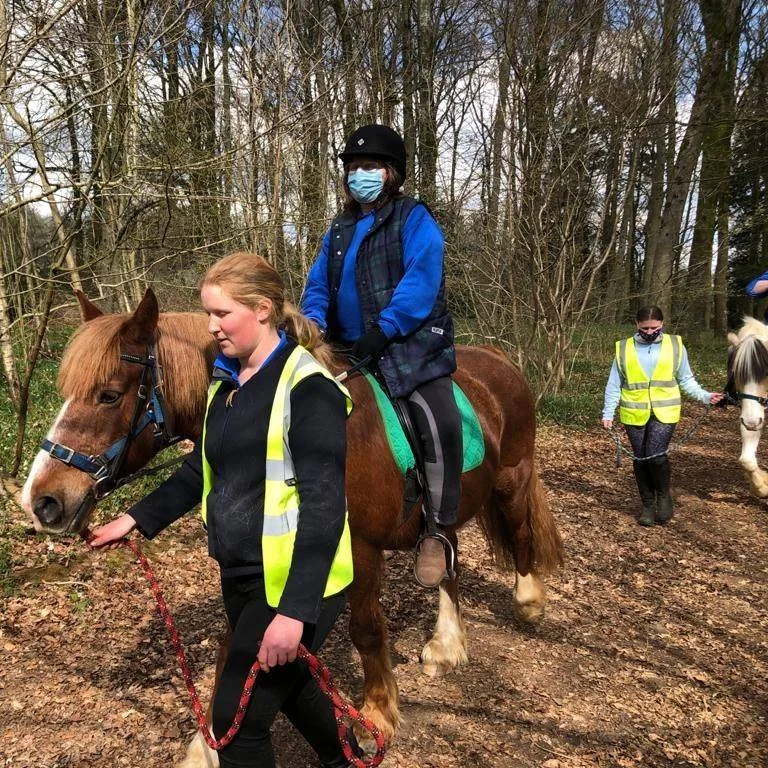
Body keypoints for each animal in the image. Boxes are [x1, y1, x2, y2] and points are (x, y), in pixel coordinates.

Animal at [22, 290, 564, 768]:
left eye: (109, 395)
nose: (42, 501)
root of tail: (499, 361)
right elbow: (235, 646)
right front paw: (207, 744)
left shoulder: (359, 549)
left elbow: (366, 629)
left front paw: (376, 716)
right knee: (448, 556)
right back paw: (447, 644)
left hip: (512, 479)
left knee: (519, 536)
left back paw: (528, 600)